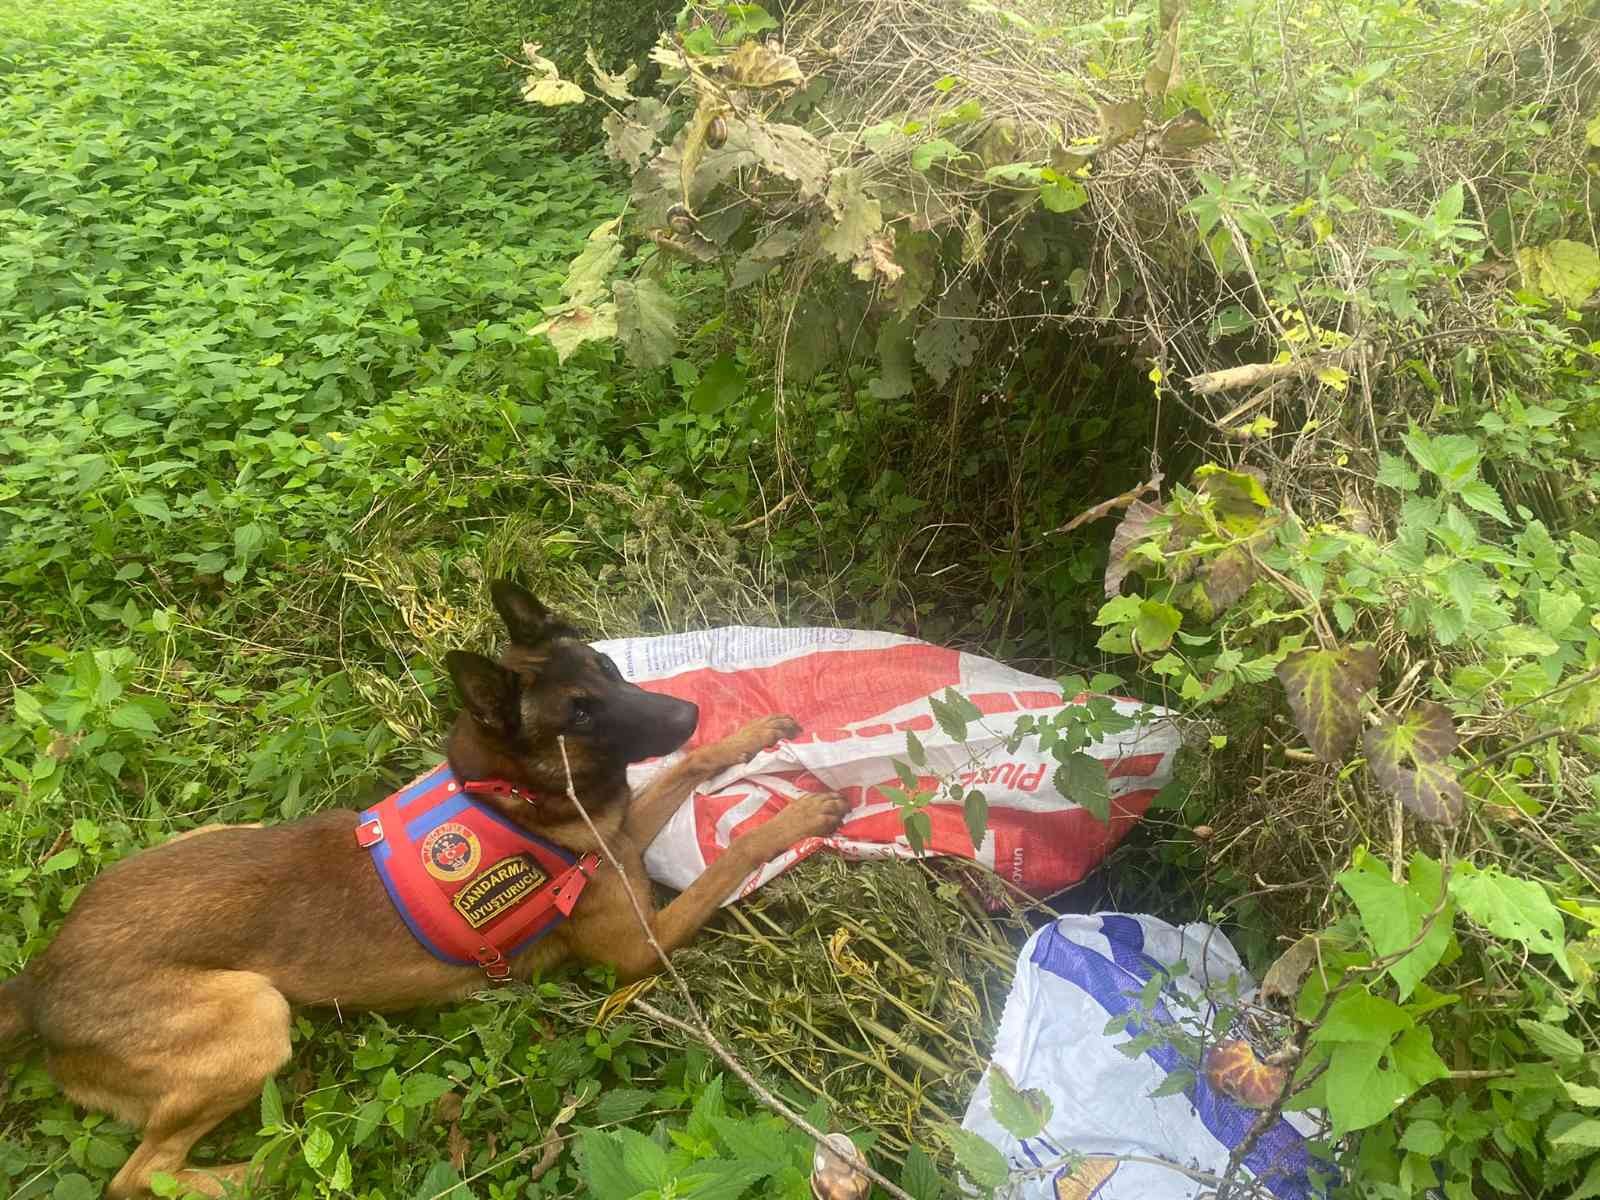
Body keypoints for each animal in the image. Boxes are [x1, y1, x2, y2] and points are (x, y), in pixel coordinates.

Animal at [0, 582, 851, 1196]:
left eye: (609, 672)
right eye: (579, 714)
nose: (691, 708)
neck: (512, 793)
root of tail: (39, 981)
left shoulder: (620, 835)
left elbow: (688, 768)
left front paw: (749, 736)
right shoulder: (643, 948)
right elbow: (722, 868)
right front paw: (801, 815)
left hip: (209, 847)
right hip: (256, 1016)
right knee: (137, 1177)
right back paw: (263, 1169)